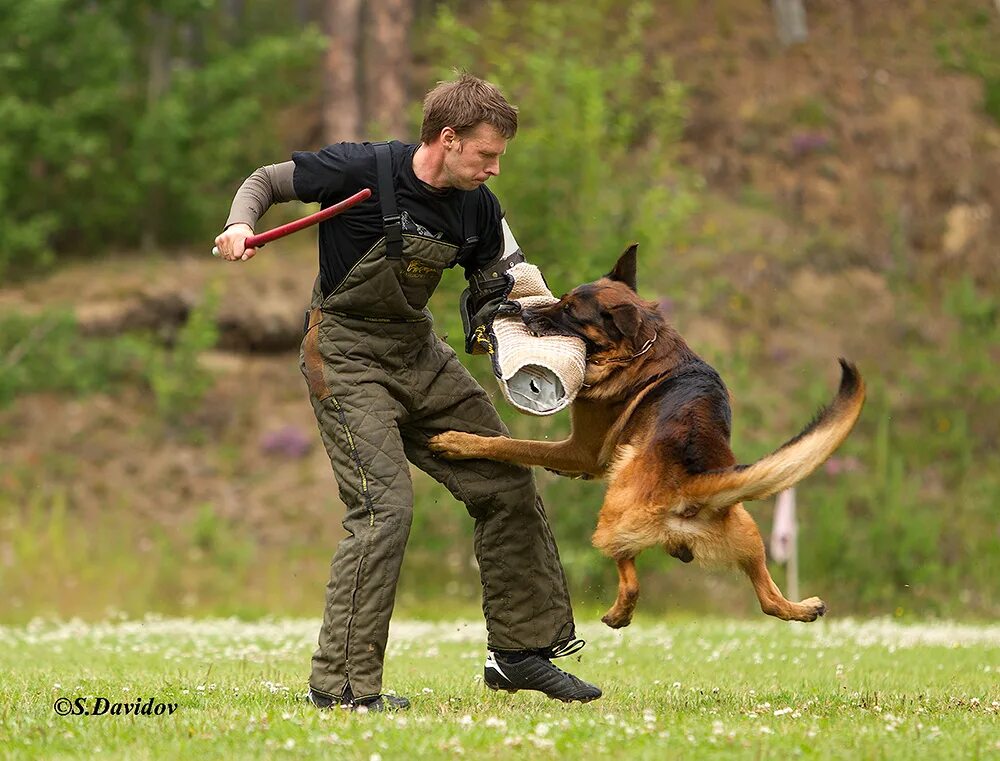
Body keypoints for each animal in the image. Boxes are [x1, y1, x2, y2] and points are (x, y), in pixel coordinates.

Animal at [430, 246, 868, 628]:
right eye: (563, 298)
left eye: (570, 311)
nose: (520, 310)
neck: (640, 348)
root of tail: (693, 484)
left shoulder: (581, 451)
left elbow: (515, 446)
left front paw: (459, 441)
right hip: (750, 535)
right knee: (768, 600)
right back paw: (804, 608)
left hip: (612, 513)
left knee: (629, 573)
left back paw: (618, 613)